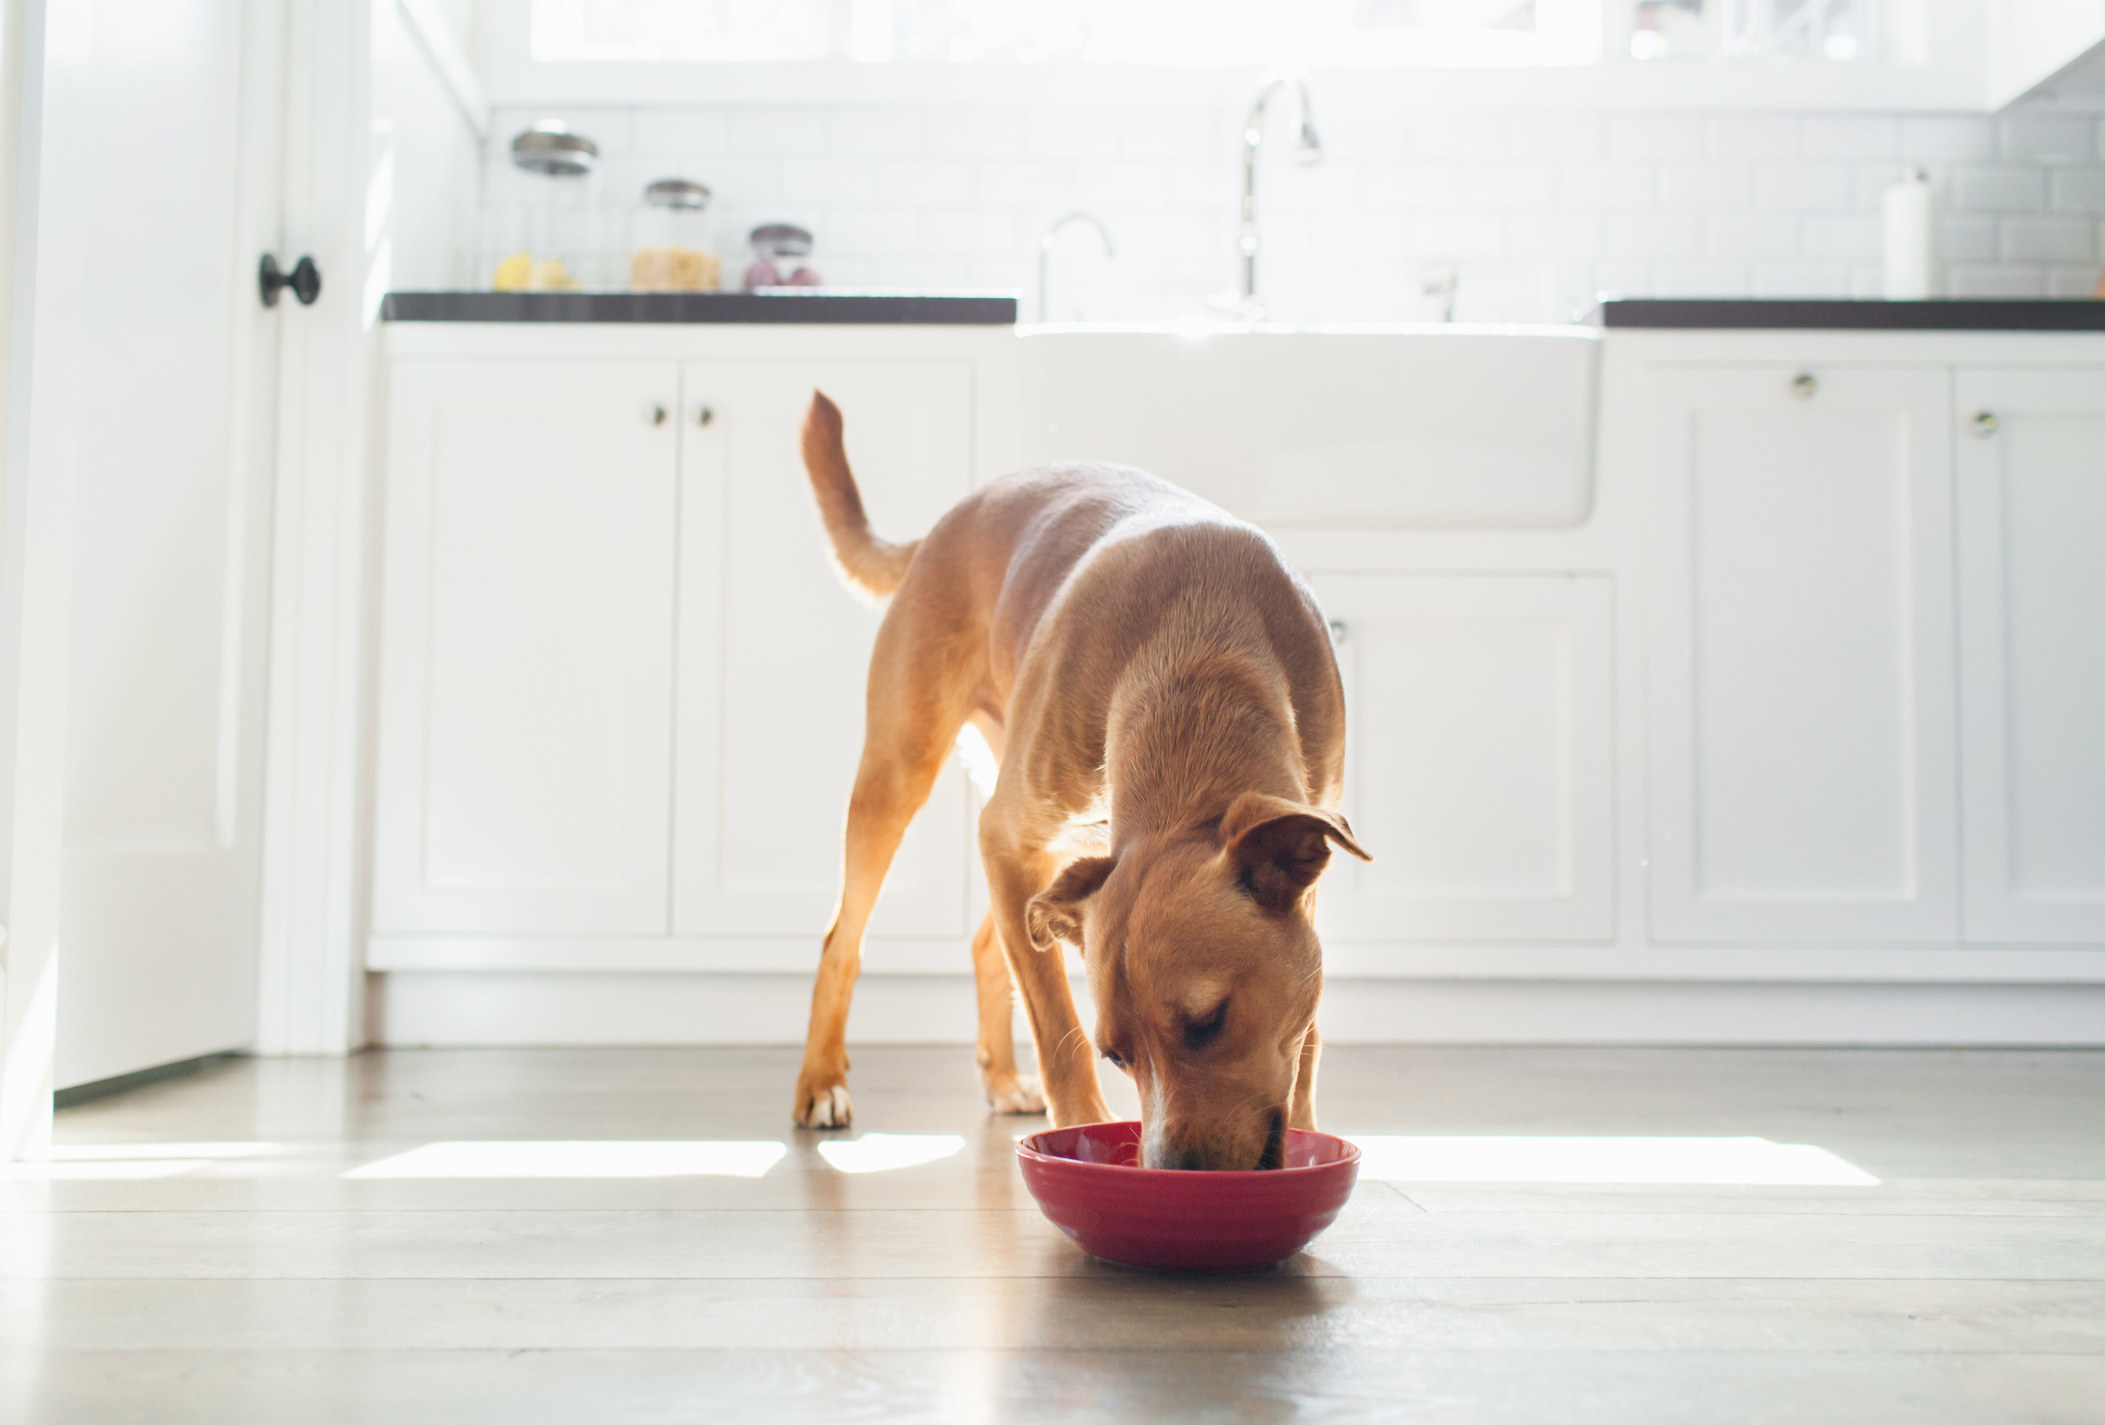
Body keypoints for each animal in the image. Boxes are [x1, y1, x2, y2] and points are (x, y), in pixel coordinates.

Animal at [791, 391, 1364, 1170]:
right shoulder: (1007, 840)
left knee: (988, 944)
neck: (1199, 661)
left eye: (1209, 1021)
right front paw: (1077, 1135)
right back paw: (821, 1082)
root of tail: (940, 527)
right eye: (1118, 1055)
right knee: (842, 943)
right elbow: (1056, 1030)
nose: (1171, 1175)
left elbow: (1304, 1037)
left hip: (1050, 853)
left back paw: (1001, 1079)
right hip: (899, 777)